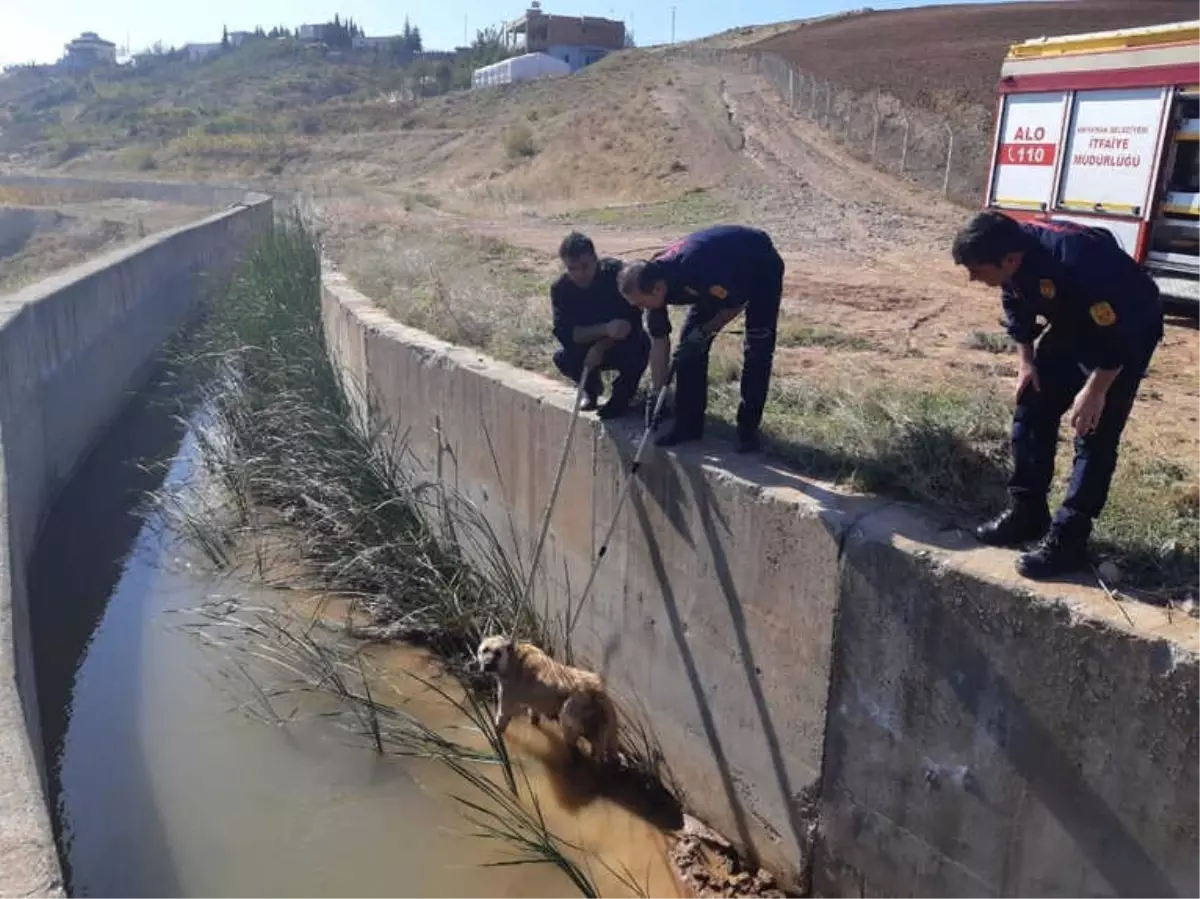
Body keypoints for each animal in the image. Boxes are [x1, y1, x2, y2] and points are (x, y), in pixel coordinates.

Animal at [472, 633, 619, 763]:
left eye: (498, 653)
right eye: (484, 650)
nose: (487, 664)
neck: (513, 658)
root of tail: (597, 691)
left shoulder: (506, 705)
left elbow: (499, 725)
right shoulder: (534, 706)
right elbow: (534, 718)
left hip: (569, 715)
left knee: (574, 747)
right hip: (608, 732)